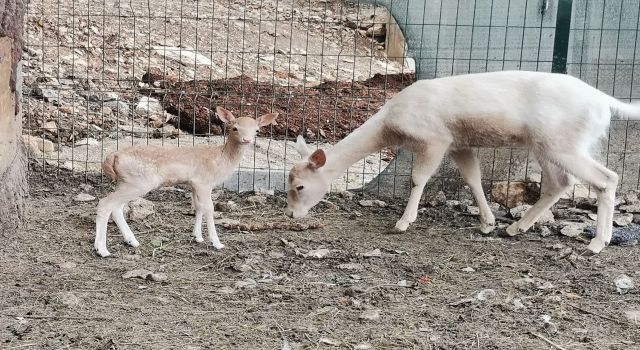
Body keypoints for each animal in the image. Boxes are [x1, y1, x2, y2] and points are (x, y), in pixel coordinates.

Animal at [284, 69, 640, 254]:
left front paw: (403, 222)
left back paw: (597, 242)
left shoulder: (435, 138)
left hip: (562, 143)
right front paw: (487, 223)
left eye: (299, 186)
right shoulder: (460, 144)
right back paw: (514, 227)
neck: (391, 125)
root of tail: (603, 101)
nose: (289, 214)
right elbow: (473, 178)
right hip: (549, 145)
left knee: (606, 178)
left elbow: (418, 179)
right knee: (559, 182)